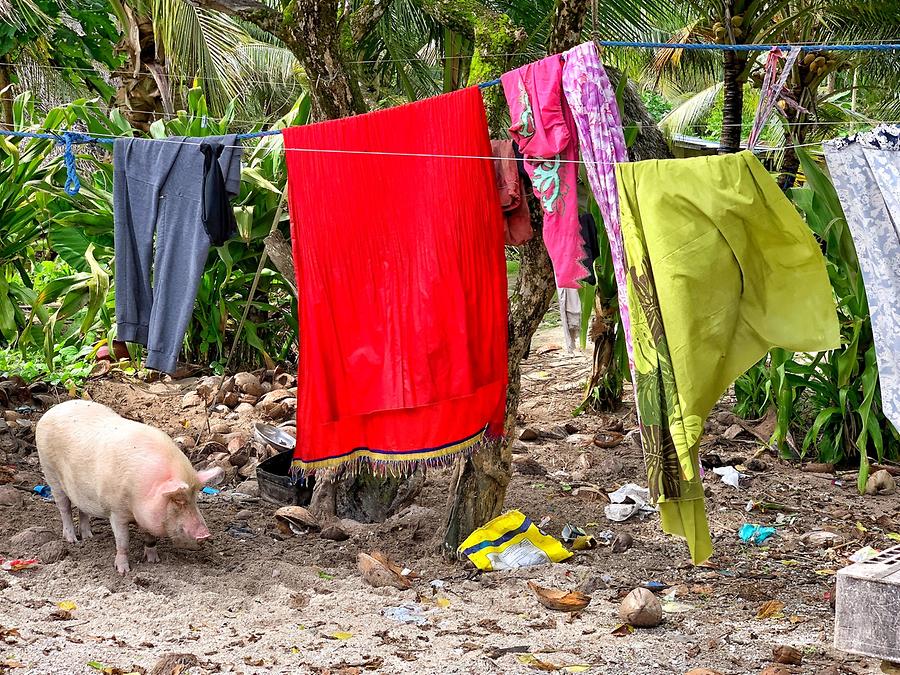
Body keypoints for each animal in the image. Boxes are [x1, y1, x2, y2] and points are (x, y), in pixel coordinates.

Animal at [37, 402, 223, 576]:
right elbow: (122, 542)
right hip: (50, 473)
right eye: (178, 500)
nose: (205, 535)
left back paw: (89, 536)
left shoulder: (146, 515)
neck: (139, 492)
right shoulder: (116, 511)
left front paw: (154, 561)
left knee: (83, 510)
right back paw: (72, 540)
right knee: (64, 508)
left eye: (195, 497)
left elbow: (150, 537)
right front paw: (123, 571)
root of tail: (50, 412)